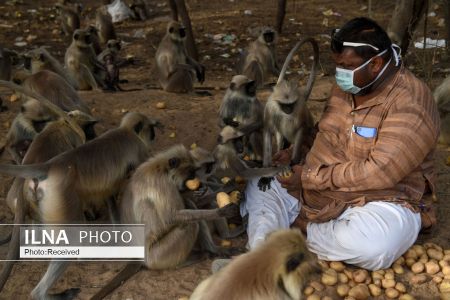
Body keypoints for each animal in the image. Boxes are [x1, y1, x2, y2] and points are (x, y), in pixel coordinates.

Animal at [89, 144, 241, 298]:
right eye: (190, 172)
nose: (194, 178)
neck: (160, 167)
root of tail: (140, 256)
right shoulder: (163, 183)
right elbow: (172, 216)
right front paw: (220, 208)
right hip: (158, 256)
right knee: (190, 222)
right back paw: (207, 251)